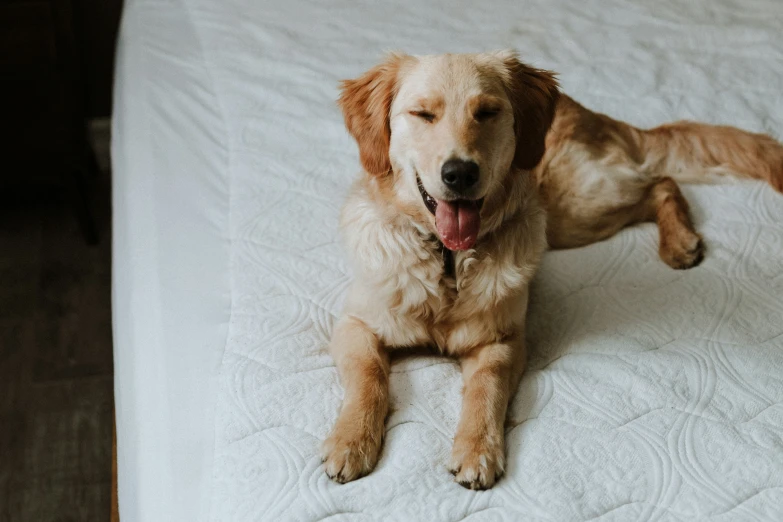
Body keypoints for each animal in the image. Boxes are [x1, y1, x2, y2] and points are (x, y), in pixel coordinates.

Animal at [320, 48, 783, 488]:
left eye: (487, 112)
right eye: (422, 114)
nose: (460, 173)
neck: (449, 260)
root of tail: (588, 111)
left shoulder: (503, 340)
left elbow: (486, 390)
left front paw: (478, 450)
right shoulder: (356, 324)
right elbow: (369, 378)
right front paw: (351, 440)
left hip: (575, 208)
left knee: (661, 183)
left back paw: (679, 241)